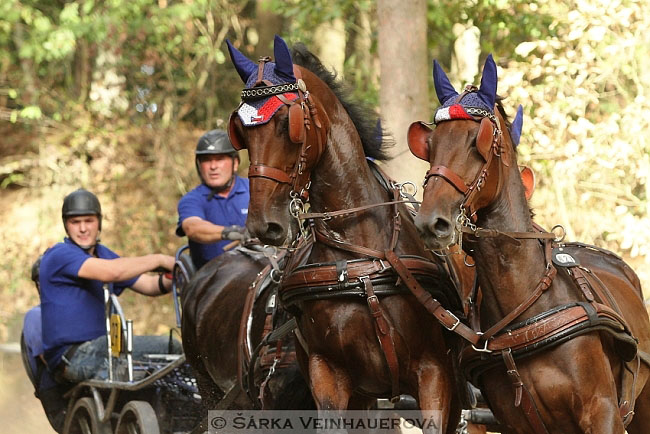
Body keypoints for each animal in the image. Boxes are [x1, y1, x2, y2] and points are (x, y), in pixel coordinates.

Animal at [408, 56, 648, 432]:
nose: (431, 222)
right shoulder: (514, 421)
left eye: (478, 140)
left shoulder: (603, 410)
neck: (525, 306)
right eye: (429, 146)